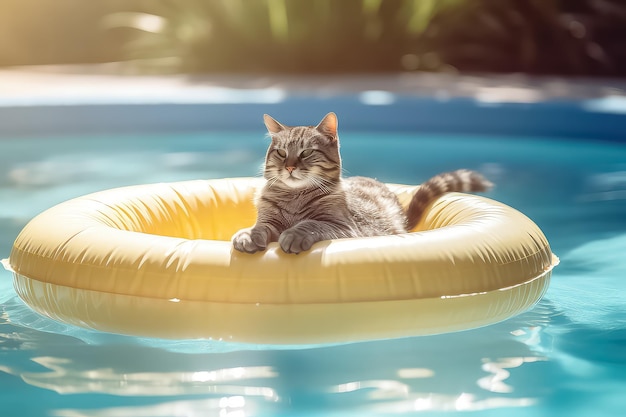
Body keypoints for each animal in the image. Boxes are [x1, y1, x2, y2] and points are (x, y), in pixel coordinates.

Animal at [232, 111, 490, 254]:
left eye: (306, 153)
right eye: (282, 153)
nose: (289, 167)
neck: (294, 198)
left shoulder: (344, 227)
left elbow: (311, 224)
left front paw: (294, 234)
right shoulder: (269, 220)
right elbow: (261, 227)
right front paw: (248, 235)